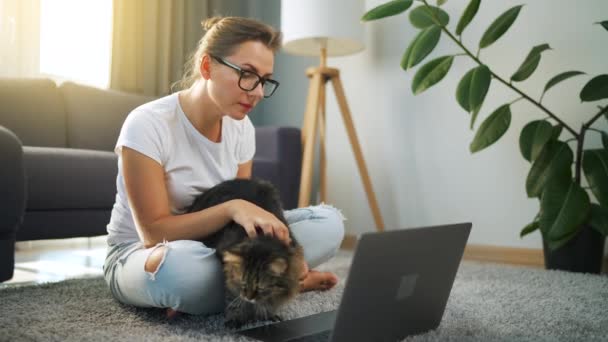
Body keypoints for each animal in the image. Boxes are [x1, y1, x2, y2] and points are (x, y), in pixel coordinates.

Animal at [188, 178, 304, 328]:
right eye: (243, 283)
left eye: (260, 287)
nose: (249, 297)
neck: (263, 237)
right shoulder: (228, 273)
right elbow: (234, 298)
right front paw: (237, 317)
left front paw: (267, 314)